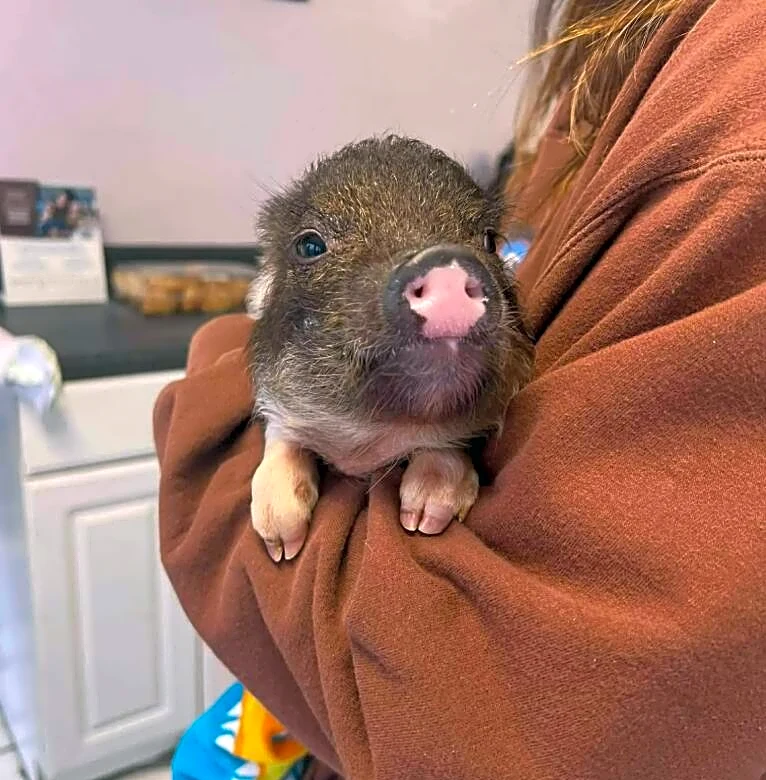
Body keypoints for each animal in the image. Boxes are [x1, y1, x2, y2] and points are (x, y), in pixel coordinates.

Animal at [247, 135, 533, 562]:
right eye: (310, 245)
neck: (366, 445)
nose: (444, 260)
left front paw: (422, 523)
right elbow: (281, 437)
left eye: (488, 240)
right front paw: (282, 549)